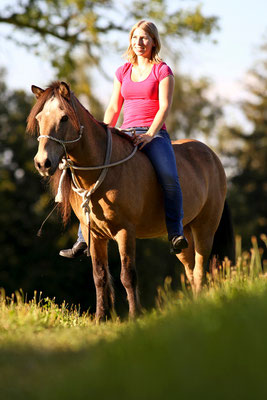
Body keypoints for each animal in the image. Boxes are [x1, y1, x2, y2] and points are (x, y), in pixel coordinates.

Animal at [27, 83, 236, 320]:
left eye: (63, 118)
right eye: (39, 118)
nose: (42, 163)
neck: (102, 170)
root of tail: (213, 157)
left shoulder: (125, 231)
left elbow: (127, 275)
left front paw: (135, 316)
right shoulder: (95, 236)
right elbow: (99, 276)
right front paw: (101, 318)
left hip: (205, 229)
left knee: (200, 268)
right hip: (186, 233)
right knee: (191, 268)